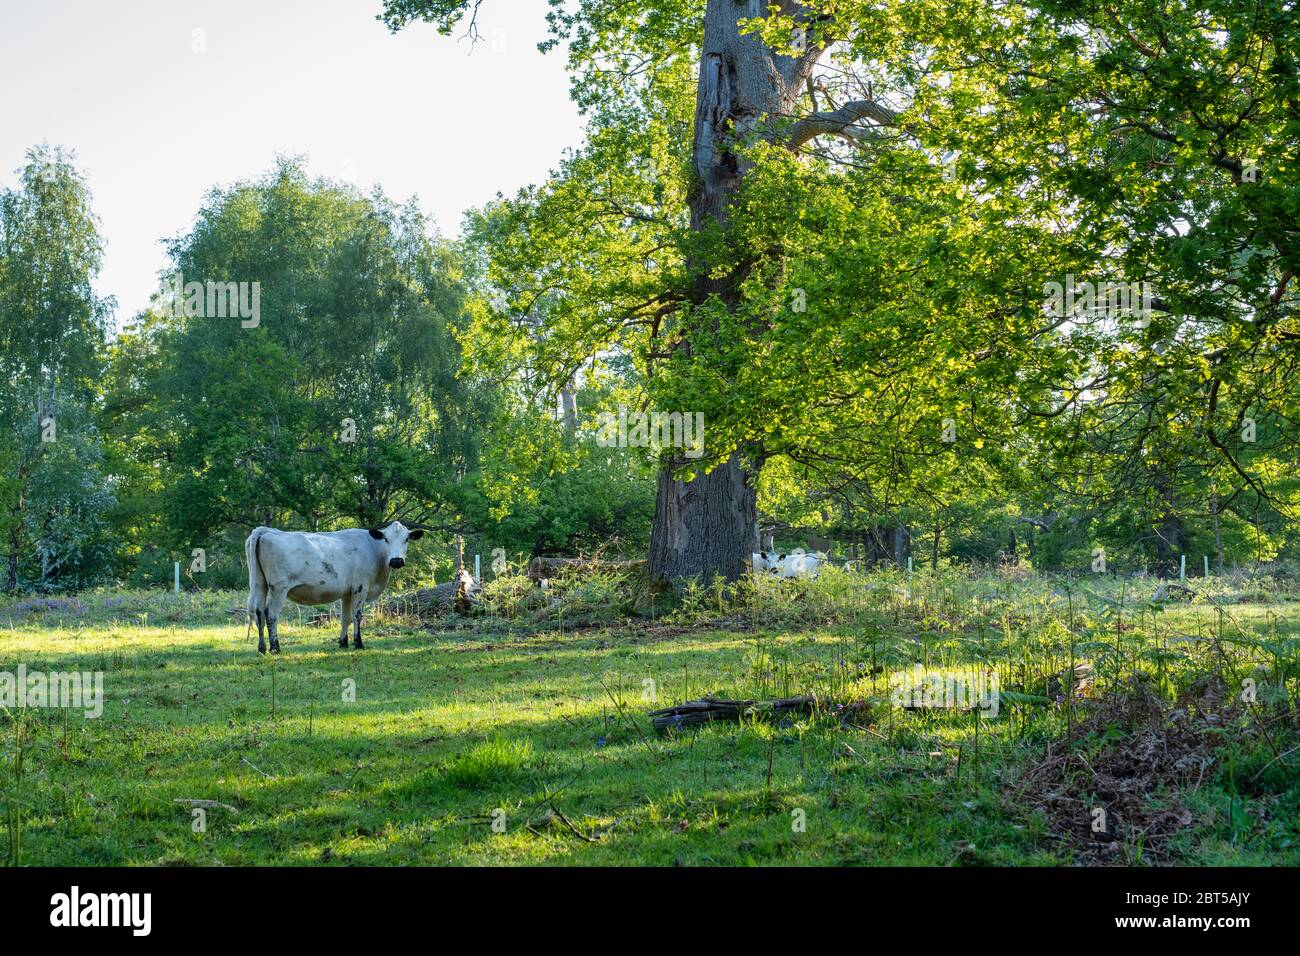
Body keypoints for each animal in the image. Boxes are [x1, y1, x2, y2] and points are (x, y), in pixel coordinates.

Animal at [245, 521, 424, 653]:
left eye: (407, 539)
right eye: (386, 539)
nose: (396, 560)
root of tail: (266, 531)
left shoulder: (348, 592)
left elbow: (346, 618)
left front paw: (343, 643)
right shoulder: (360, 587)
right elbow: (357, 615)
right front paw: (358, 643)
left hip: (260, 584)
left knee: (259, 613)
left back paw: (262, 648)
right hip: (279, 588)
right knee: (271, 614)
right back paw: (275, 648)